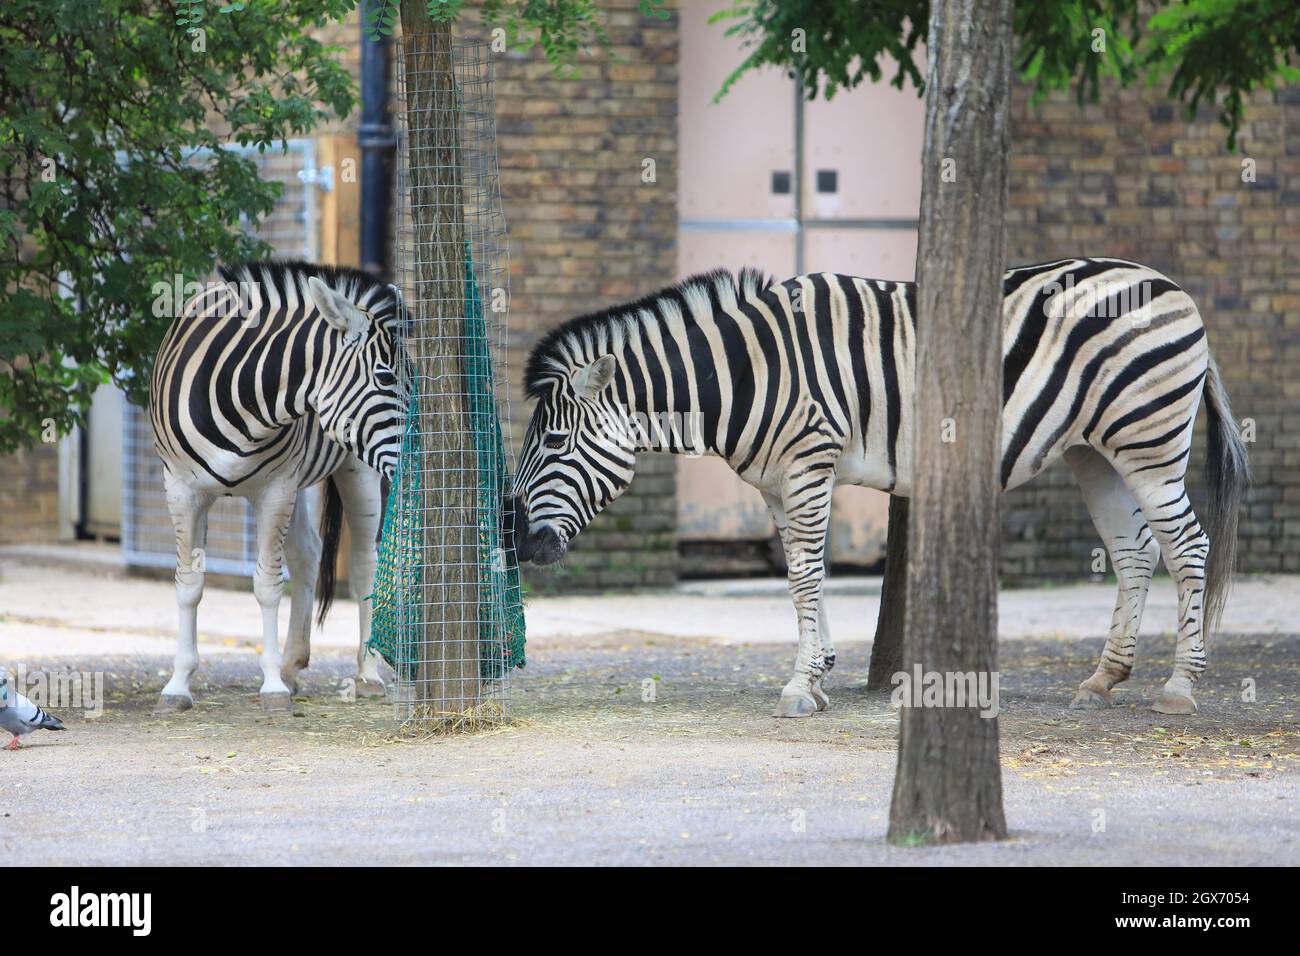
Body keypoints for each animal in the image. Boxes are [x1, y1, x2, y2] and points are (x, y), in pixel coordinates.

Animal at [149, 260, 408, 713]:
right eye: (383, 376)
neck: (244, 394)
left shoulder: (276, 488)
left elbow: (268, 585)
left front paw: (270, 686)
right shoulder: (182, 488)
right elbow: (189, 585)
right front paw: (178, 684)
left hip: (357, 468)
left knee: (363, 565)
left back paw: (367, 673)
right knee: (308, 554)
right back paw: (292, 664)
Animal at [512, 257, 1250, 718]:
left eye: (554, 444)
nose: (516, 541)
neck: (748, 372)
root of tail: (1173, 288)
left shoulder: (809, 460)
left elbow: (808, 574)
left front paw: (800, 685)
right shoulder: (776, 482)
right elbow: (797, 571)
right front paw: (820, 669)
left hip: (1149, 443)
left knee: (1188, 548)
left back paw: (1179, 688)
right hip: (1095, 453)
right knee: (1134, 555)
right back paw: (1103, 681)